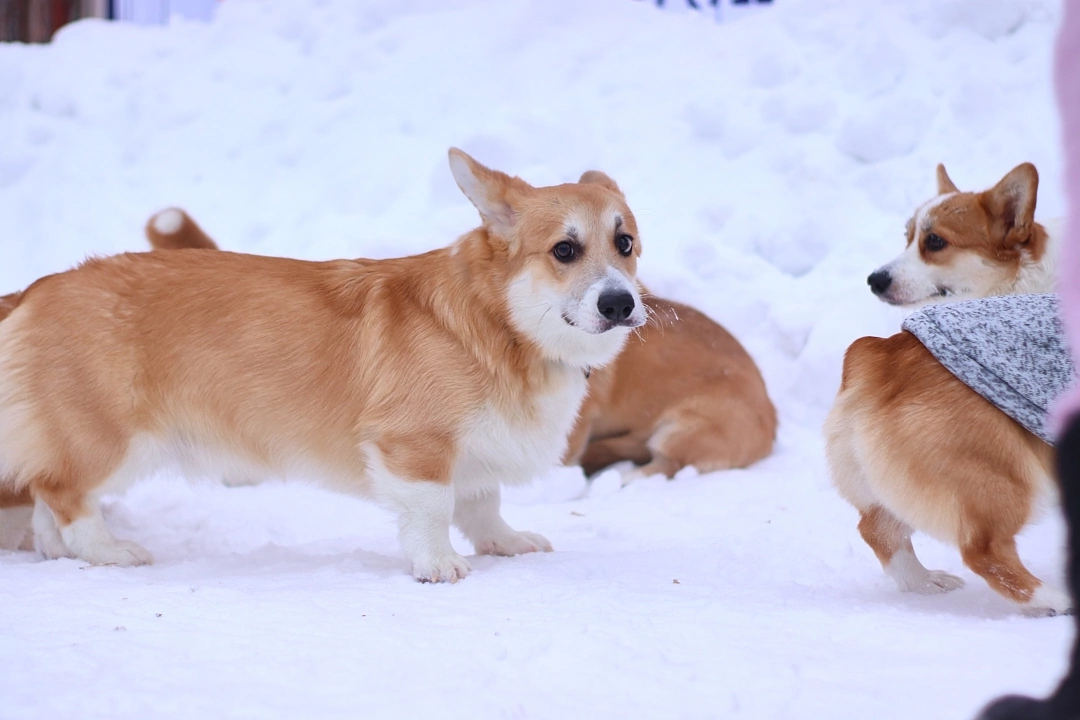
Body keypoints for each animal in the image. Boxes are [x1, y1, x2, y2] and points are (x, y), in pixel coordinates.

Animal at [0, 151, 639, 578]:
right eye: (564, 250)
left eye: (625, 243)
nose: (621, 304)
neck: (501, 323)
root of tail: (37, 290)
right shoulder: (417, 445)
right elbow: (434, 508)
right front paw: (439, 564)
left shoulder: (478, 450)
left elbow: (484, 505)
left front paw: (504, 542)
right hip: (112, 439)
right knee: (63, 491)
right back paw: (109, 551)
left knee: (45, 496)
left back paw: (58, 551)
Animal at [825, 162, 1062, 613]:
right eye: (908, 236)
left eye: (935, 241)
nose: (874, 280)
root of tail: (881, 355)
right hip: (1004, 475)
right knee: (984, 551)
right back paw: (1053, 599)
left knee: (878, 528)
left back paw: (924, 583)